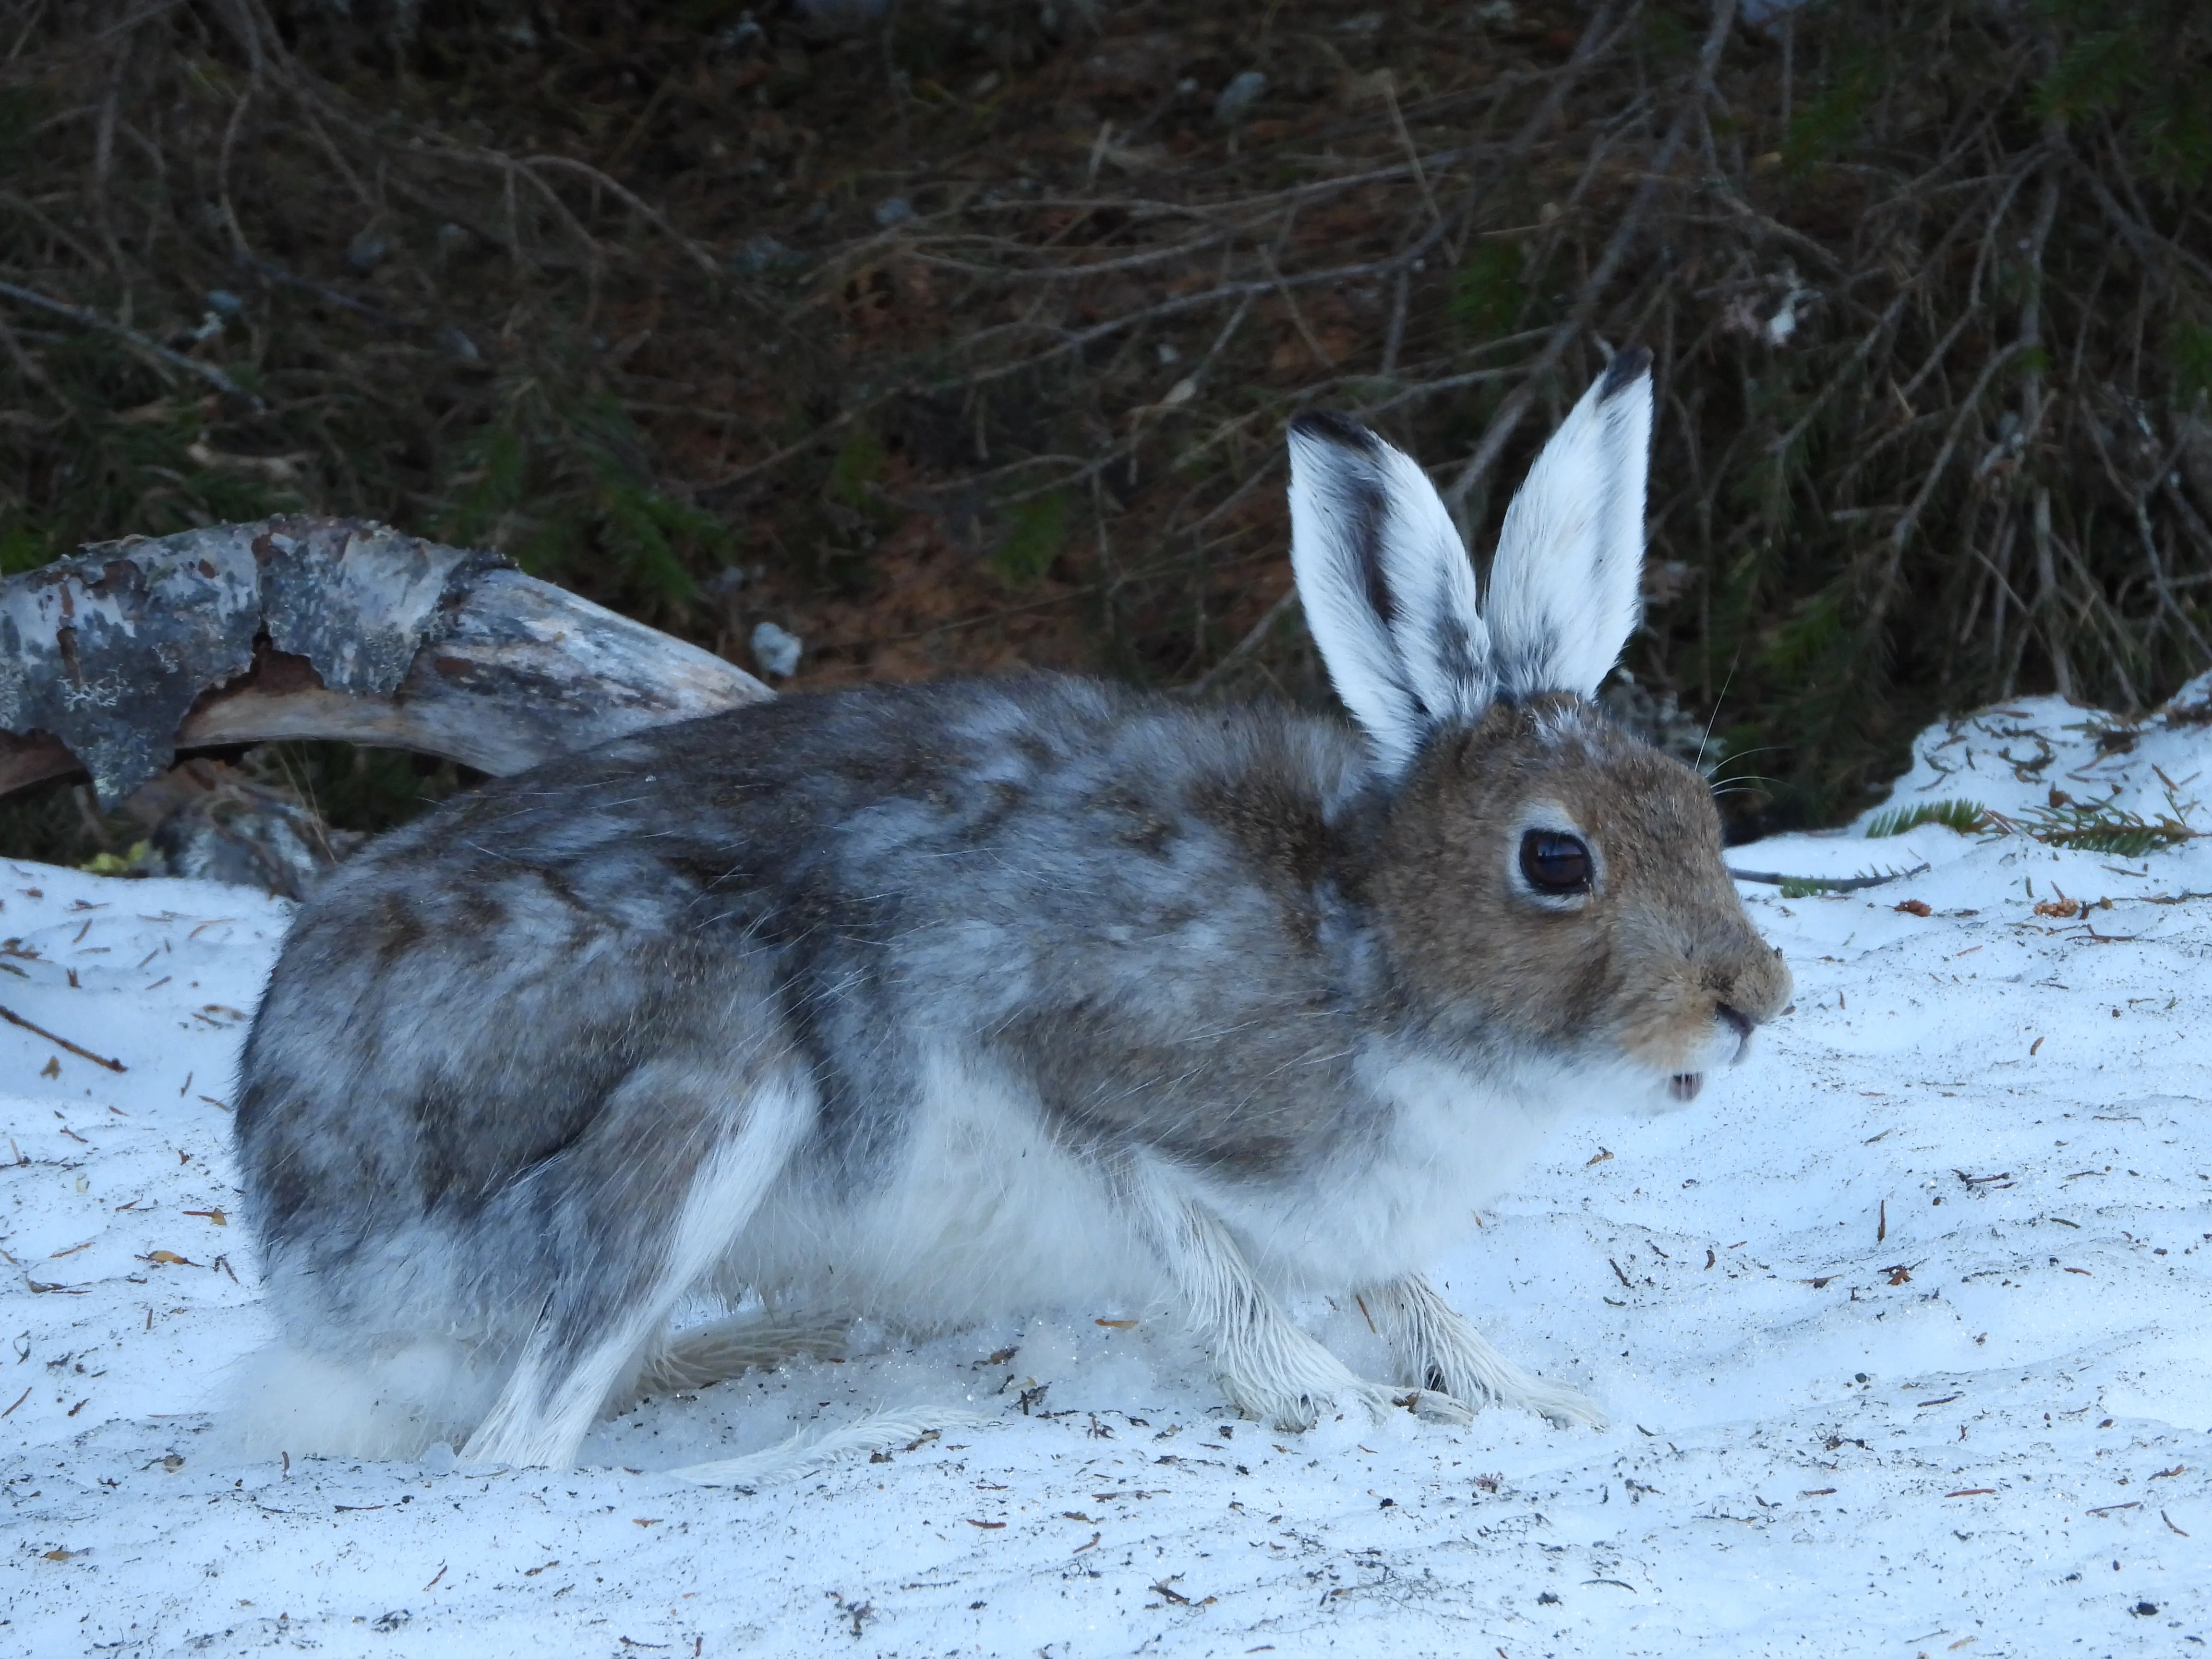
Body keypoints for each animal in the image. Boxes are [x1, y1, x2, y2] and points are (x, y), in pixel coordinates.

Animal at [229, 348, 1791, 1469]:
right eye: (1556, 860)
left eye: (1696, 806)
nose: (1752, 1004)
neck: (1367, 949)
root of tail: (297, 1266)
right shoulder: (1068, 1067)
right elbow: (1206, 1262)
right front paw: (1333, 1405)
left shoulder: (1361, 1226)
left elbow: (1412, 1299)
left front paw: (1534, 1398)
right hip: (707, 1086)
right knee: (516, 1453)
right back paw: (874, 1424)